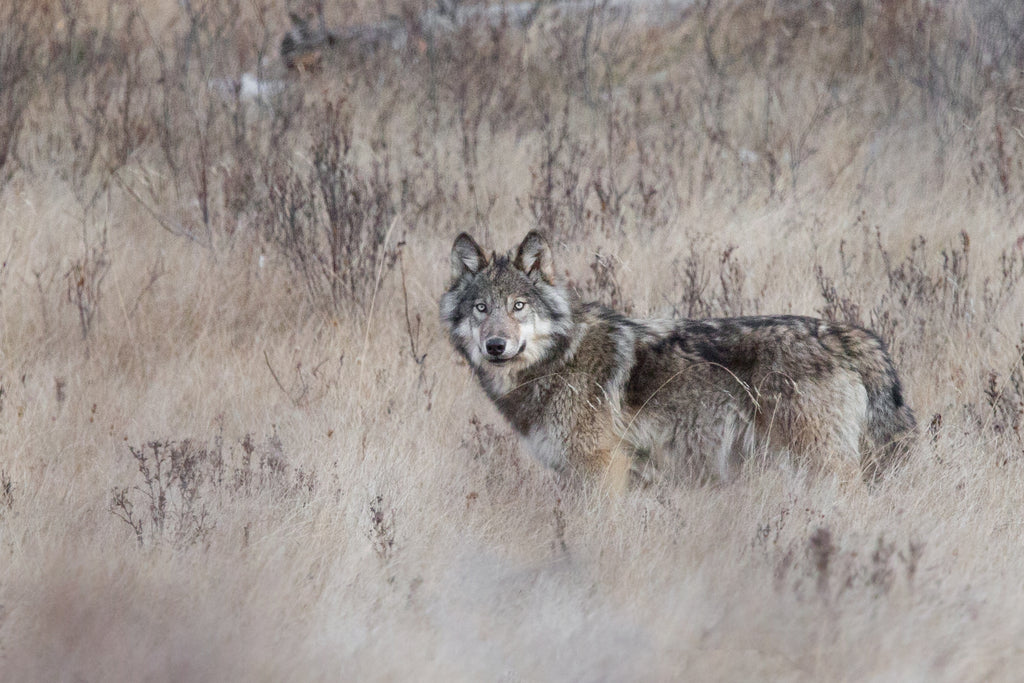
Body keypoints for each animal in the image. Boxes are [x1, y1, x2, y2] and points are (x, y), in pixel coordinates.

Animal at [440, 231, 916, 490]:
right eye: (482, 308)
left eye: (518, 306)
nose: (496, 346)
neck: (560, 358)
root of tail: (850, 335)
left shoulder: (602, 468)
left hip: (825, 465)